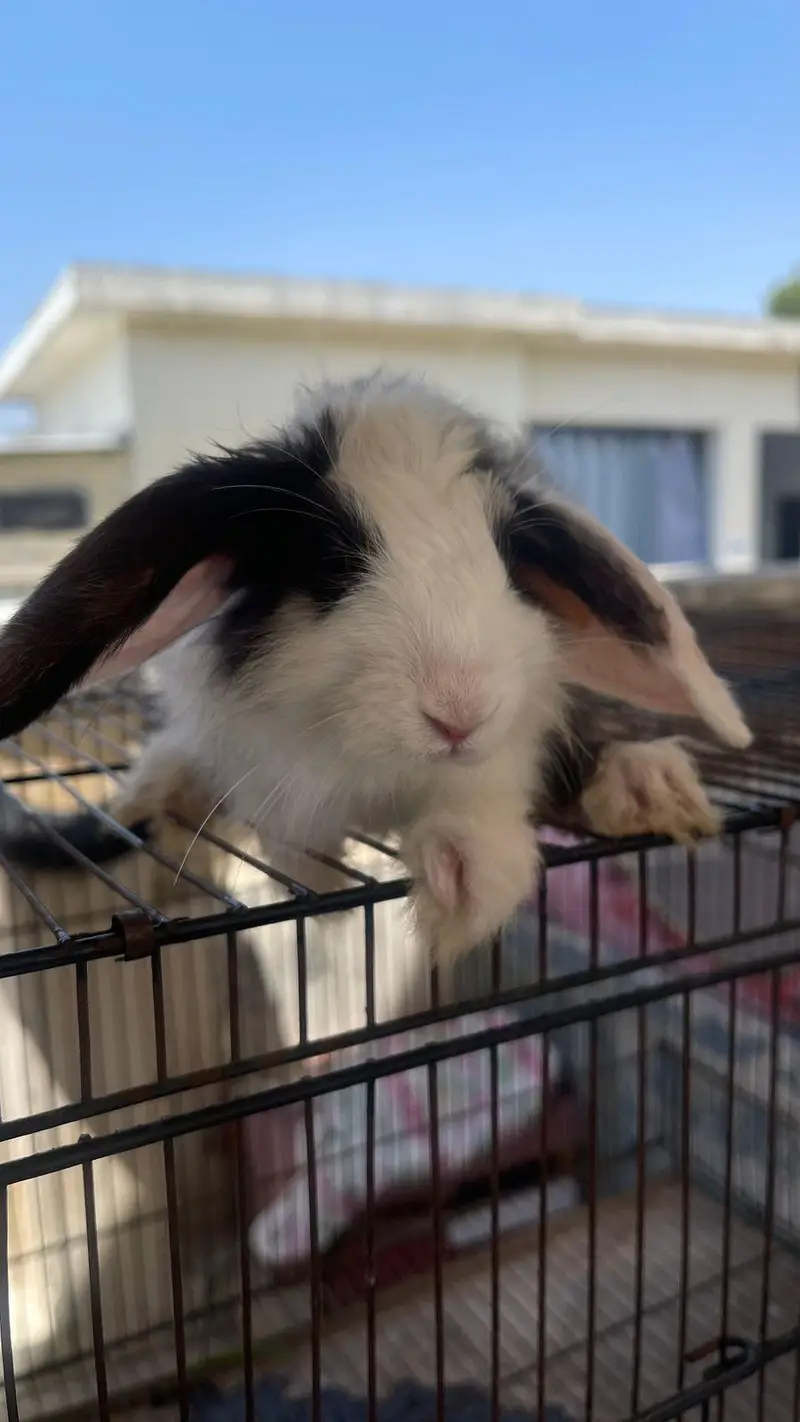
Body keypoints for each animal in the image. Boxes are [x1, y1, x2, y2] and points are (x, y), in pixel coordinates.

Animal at [0, 372, 751, 967]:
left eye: (511, 561)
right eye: (331, 562)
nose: (460, 713)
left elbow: (482, 794)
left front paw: (465, 878)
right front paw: (349, 888)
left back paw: (652, 788)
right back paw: (156, 798)